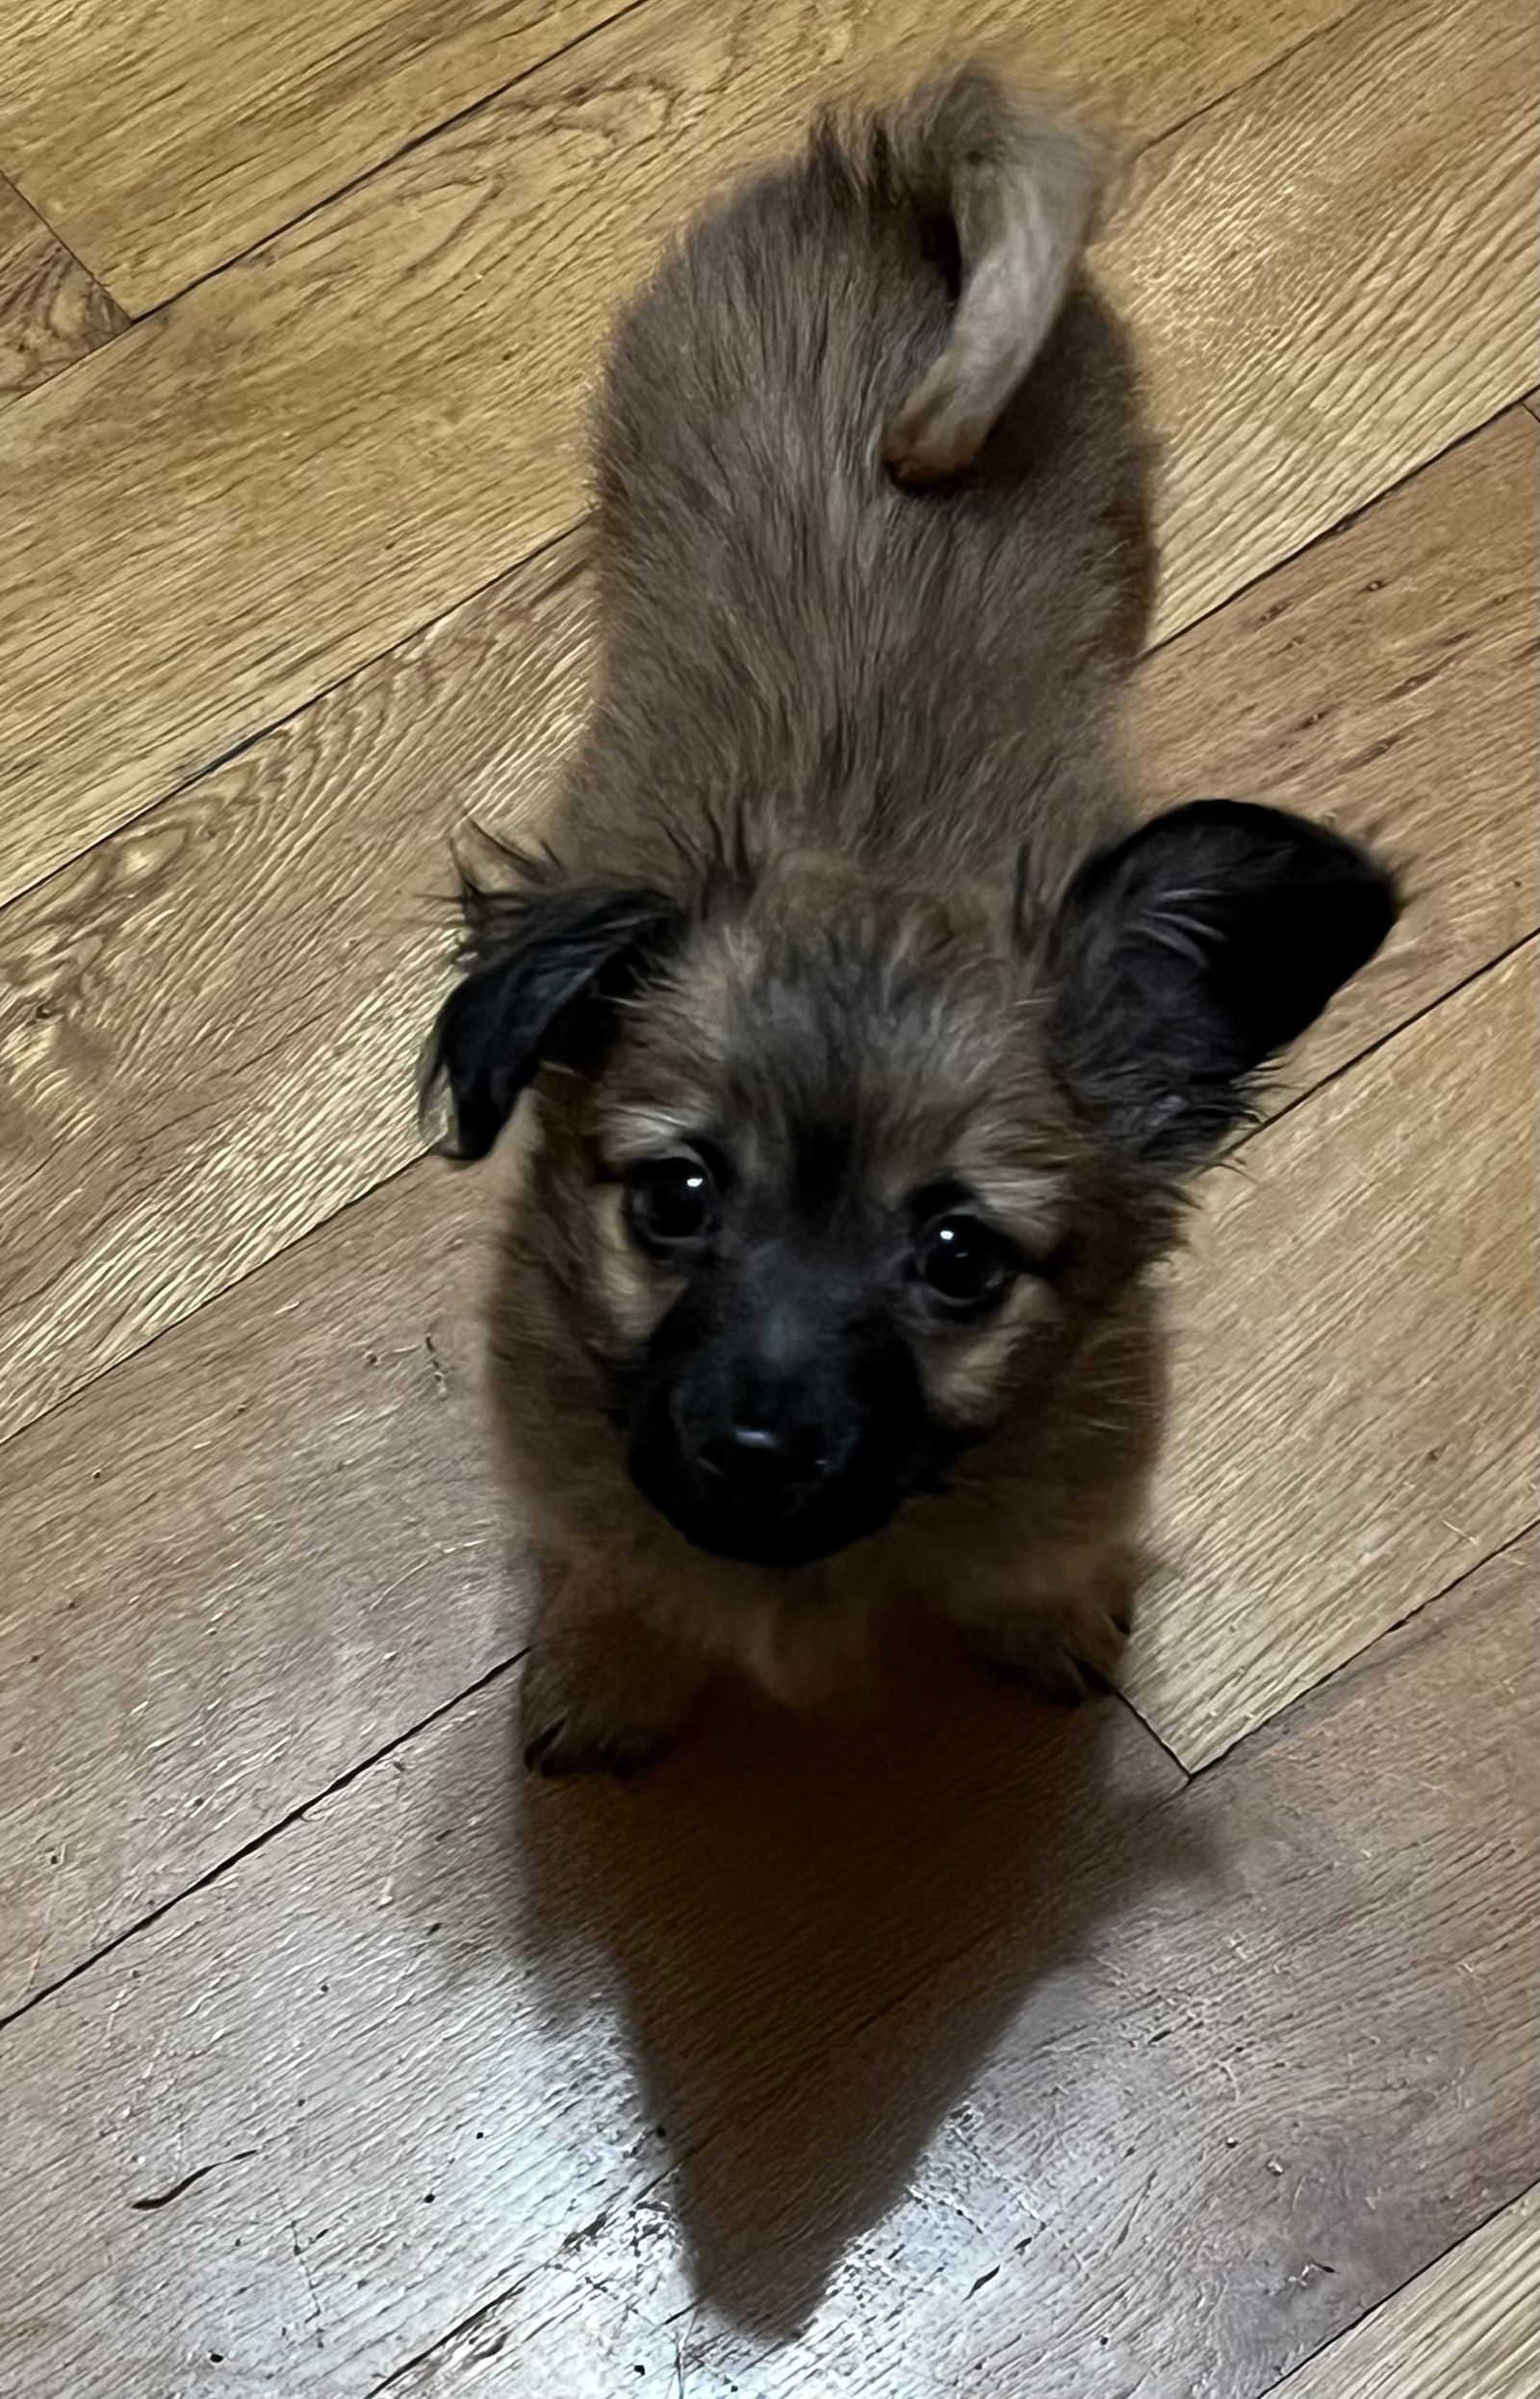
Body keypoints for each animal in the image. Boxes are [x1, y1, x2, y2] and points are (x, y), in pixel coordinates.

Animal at [417, 69, 1391, 1785]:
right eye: (673, 1197)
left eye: (958, 1258)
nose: (754, 1445)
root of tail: (895, 169)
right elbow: (616, 1563)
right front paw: (608, 1663)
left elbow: (1040, 1556)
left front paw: (1049, 1615)